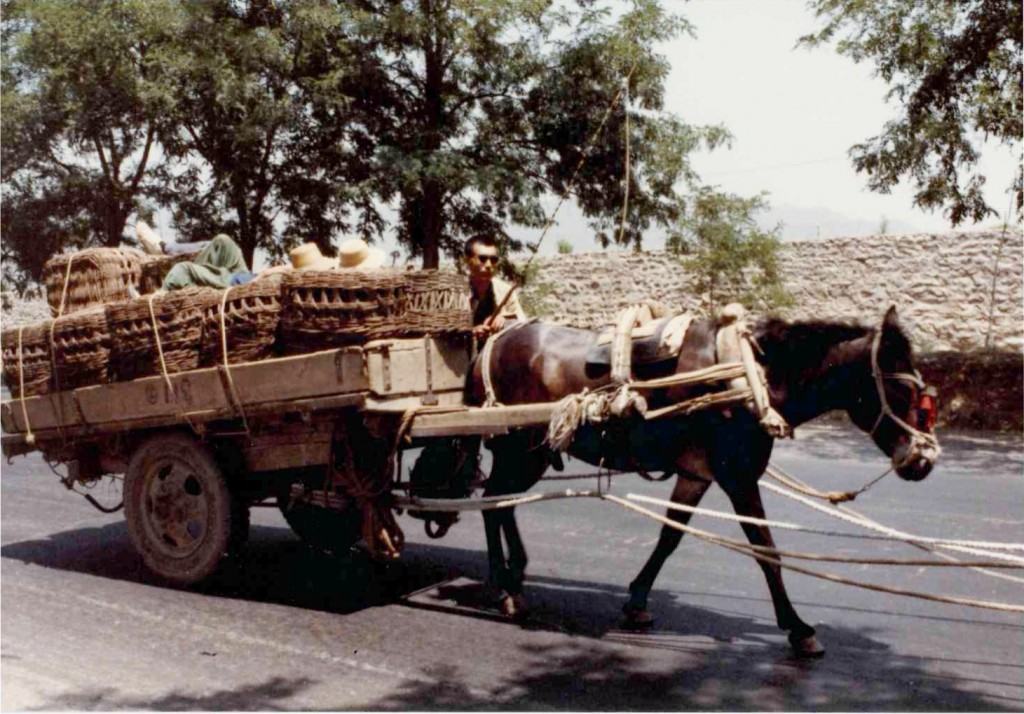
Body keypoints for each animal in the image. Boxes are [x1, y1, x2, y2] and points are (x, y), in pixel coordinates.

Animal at [468, 303, 937, 655]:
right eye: (902, 391)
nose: (925, 460)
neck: (752, 379)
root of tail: (495, 341)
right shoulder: (739, 477)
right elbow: (766, 550)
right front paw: (799, 628)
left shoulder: (698, 475)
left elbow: (670, 538)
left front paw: (637, 600)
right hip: (518, 448)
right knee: (492, 502)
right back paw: (503, 587)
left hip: (532, 453)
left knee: (501, 502)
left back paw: (514, 573)